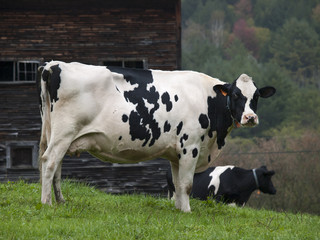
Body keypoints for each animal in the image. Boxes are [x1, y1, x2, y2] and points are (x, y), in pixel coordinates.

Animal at [37, 61, 276, 212]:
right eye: (235, 95)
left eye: (256, 97)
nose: (250, 117)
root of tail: (53, 65)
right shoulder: (190, 146)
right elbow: (187, 184)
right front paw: (187, 211)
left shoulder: (176, 153)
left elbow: (177, 184)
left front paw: (179, 209)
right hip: (64, 131)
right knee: (49, 162)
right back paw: (47, 202)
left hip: (57, 133)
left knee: (56, 165)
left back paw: (60, 201)